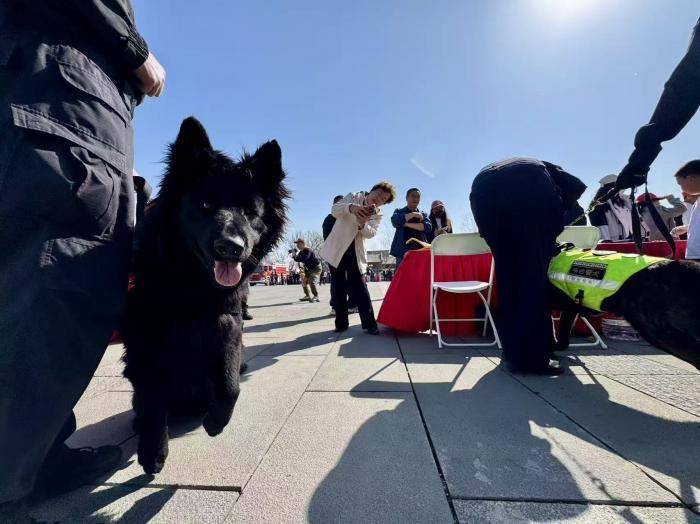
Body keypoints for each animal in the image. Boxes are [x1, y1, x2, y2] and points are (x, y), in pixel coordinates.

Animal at [122, 117, 289, 474]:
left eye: (250, 212)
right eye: (205, 205)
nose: (231, 247)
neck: (192, 284)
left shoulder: (227, 322)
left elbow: (230, 383)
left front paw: (215, 421)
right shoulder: (146, 335)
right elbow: (152, 395)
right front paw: (153, 451)